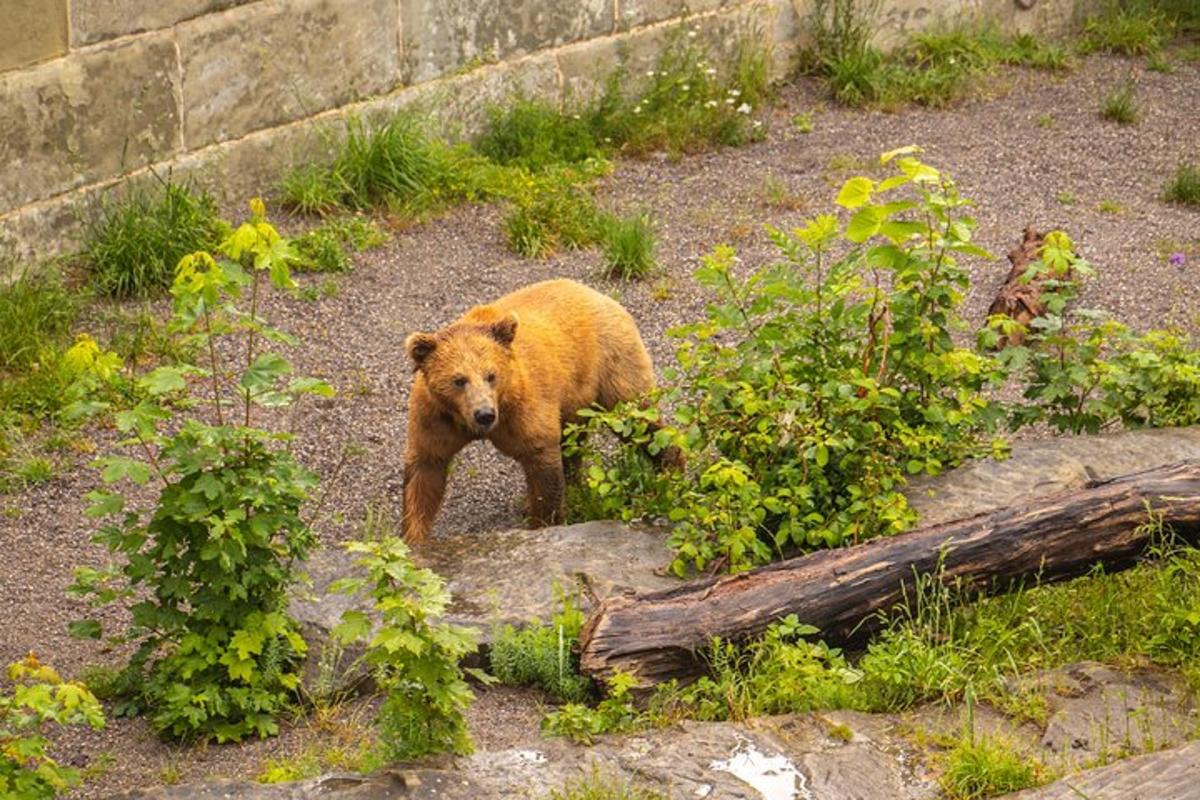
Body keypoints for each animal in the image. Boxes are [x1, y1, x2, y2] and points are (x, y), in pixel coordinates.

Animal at [403, 277, 667, 544]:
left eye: (491, 375)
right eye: (459, 380)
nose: (484, 414)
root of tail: (597, 294)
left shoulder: (524, 409)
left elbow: (542, 466)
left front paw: (543, 523)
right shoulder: (435, 417)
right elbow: (425, 472)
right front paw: (413, 536)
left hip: (612, 363)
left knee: (639, 420)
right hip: (576, 396)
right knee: (573, 442)